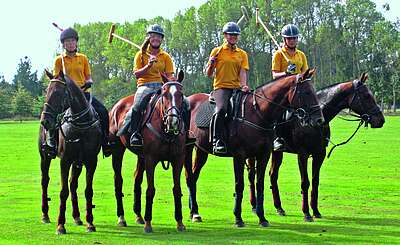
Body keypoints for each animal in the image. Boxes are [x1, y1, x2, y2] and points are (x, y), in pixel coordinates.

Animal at [39, 70, 101, 234]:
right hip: (44, 157)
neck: (81, 125)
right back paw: (45, 215)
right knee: (45, 181)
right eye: (46, 91)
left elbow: (88, 191)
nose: (45, 121)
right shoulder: (65, 160)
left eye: (57, 93)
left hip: (77, 163)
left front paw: (90, 223)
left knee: (73, 184)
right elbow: (63, 192)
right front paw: (60, 225)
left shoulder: (91, 161)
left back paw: (77, 217)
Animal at [108, 70, 190, 233]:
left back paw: (138, 215)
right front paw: (148, 223)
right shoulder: (151, 159)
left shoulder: (178, 159)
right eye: (165, 94)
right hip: (117, 150)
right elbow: (150, 190)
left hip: (141, 157)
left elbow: (177, 189)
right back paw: (122, 218)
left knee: (137, 178)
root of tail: (117, 105)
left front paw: (180, 222)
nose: (173, 121)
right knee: (118, 180)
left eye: (181, 94)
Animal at [184, 68, 324, 227]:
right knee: (189, 177)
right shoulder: (239, 155)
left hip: (201, 150)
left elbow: (260, 184)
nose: (319, 120)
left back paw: (194, 211)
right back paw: (194, 212)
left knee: (193, 177)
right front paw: (238, 218)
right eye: (306, 92)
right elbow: (239, 185)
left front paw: (262, 218)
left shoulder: (263, 155)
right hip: (188, 148)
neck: (258, 114)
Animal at [247, 71, 384, 222]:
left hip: (277, 152)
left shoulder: (320, 154)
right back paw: (254, 206)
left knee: (273, 175)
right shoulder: (303, 154)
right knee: (252, 175)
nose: (381, 120)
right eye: (366, 96)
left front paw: (316, 211)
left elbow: (315, 181)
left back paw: (279, 207)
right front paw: (306, 213)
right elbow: (305, 182)